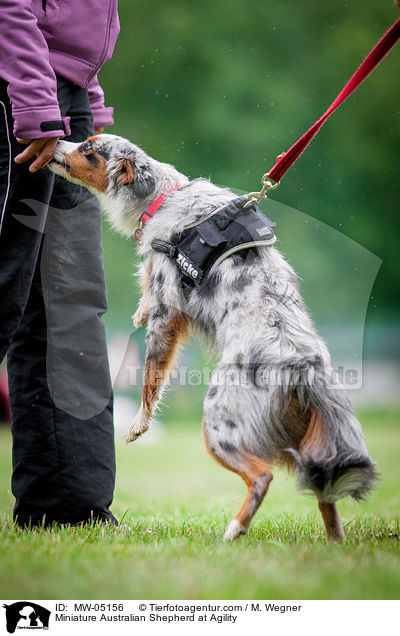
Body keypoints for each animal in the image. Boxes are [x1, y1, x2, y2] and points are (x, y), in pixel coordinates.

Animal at [48, 134, 376, 540]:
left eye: (89, 150)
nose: (55, 140)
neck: (162, 197)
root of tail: (302, 366)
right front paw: (138, 309)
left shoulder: (168, 309)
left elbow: (151, 375)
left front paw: (139, 424)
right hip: (308, 440)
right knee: (323, 490)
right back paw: (333, 543)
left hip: (219, 425)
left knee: (262, 475)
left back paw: (235, 529)